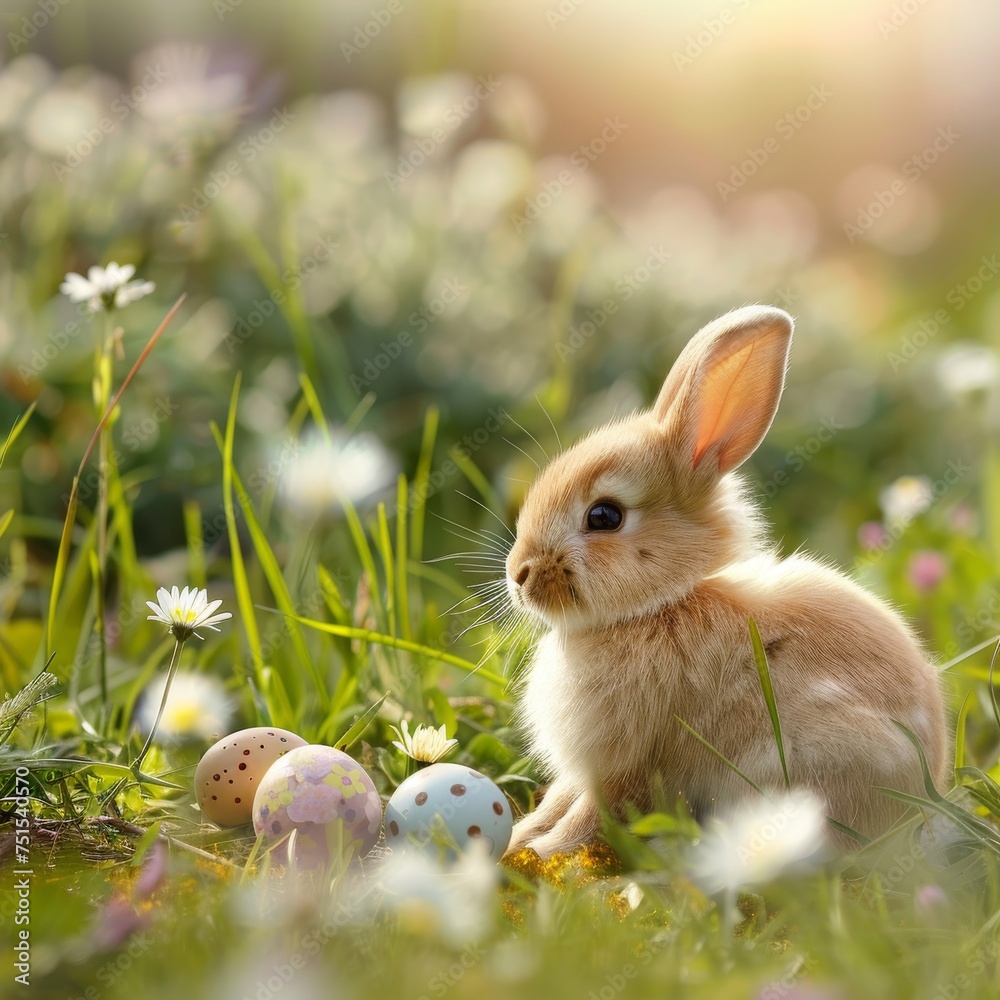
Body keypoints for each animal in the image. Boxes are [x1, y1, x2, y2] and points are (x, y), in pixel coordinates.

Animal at [502, 305, 949, 860]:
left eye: (604, 516)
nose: (517, 575)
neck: (661, 606)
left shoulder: (630, 764)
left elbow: (588, 817)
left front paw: (537, 856)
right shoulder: (591, 769)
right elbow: (559, 802)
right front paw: (519, 838)